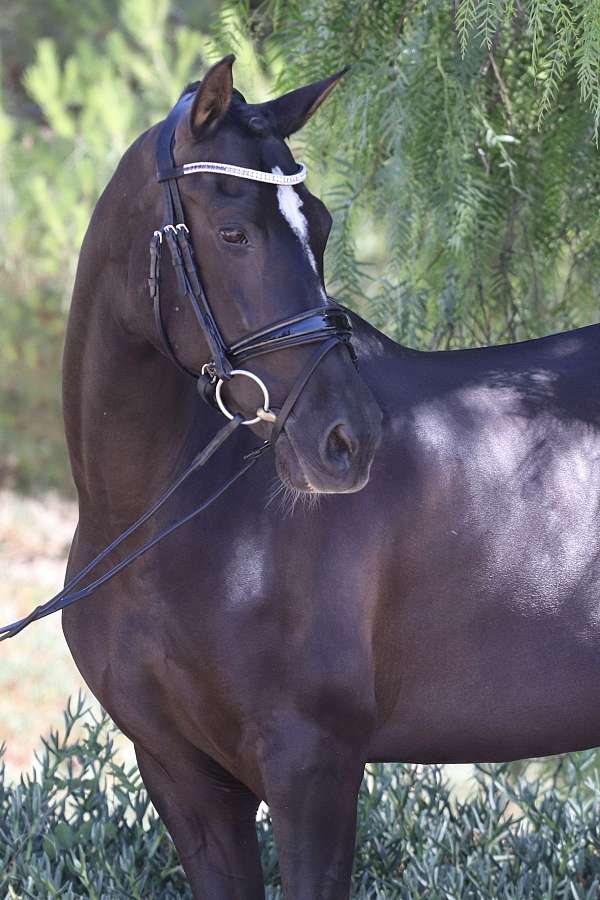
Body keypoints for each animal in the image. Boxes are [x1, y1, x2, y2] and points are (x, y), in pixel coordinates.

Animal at [62, 52, 600, 896]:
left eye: (319, 225)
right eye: (233, 231)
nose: (349, 438)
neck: (149, 523)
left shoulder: (313, 769)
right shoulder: (184, 781)